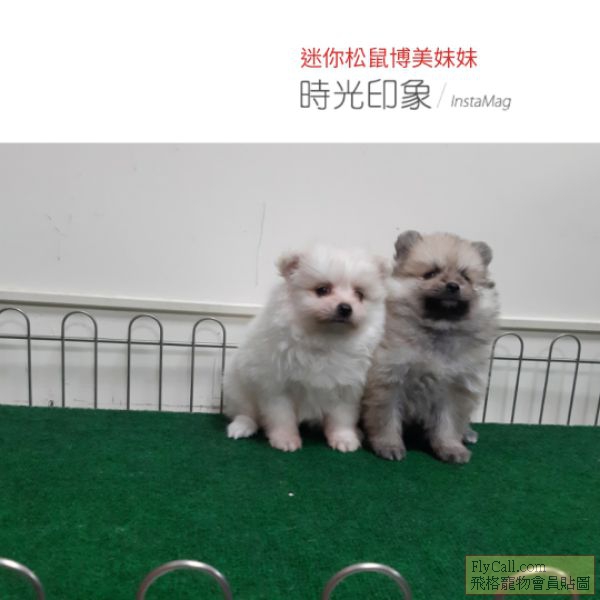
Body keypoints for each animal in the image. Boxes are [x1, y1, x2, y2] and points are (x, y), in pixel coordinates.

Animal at [225, 245, 389, 452]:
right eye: (322, 290)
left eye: (359, 295)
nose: (346, 307)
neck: (326, 339)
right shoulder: (276, 386)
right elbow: (282, 417)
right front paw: (286, 439)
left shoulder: (347, 388)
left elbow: (342, 418)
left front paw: (344, 438)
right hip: (237, 388)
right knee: (246, 412)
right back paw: (241, 426)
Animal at [362, 231, 499, 463]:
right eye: (430, 273)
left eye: (465, 277)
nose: (453, 285)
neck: (439, 330)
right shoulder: (389, 379)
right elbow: (386, 419)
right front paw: (388, 445)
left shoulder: (455, 388)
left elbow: (449, 424)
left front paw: (451, 447)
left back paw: (467, 433)